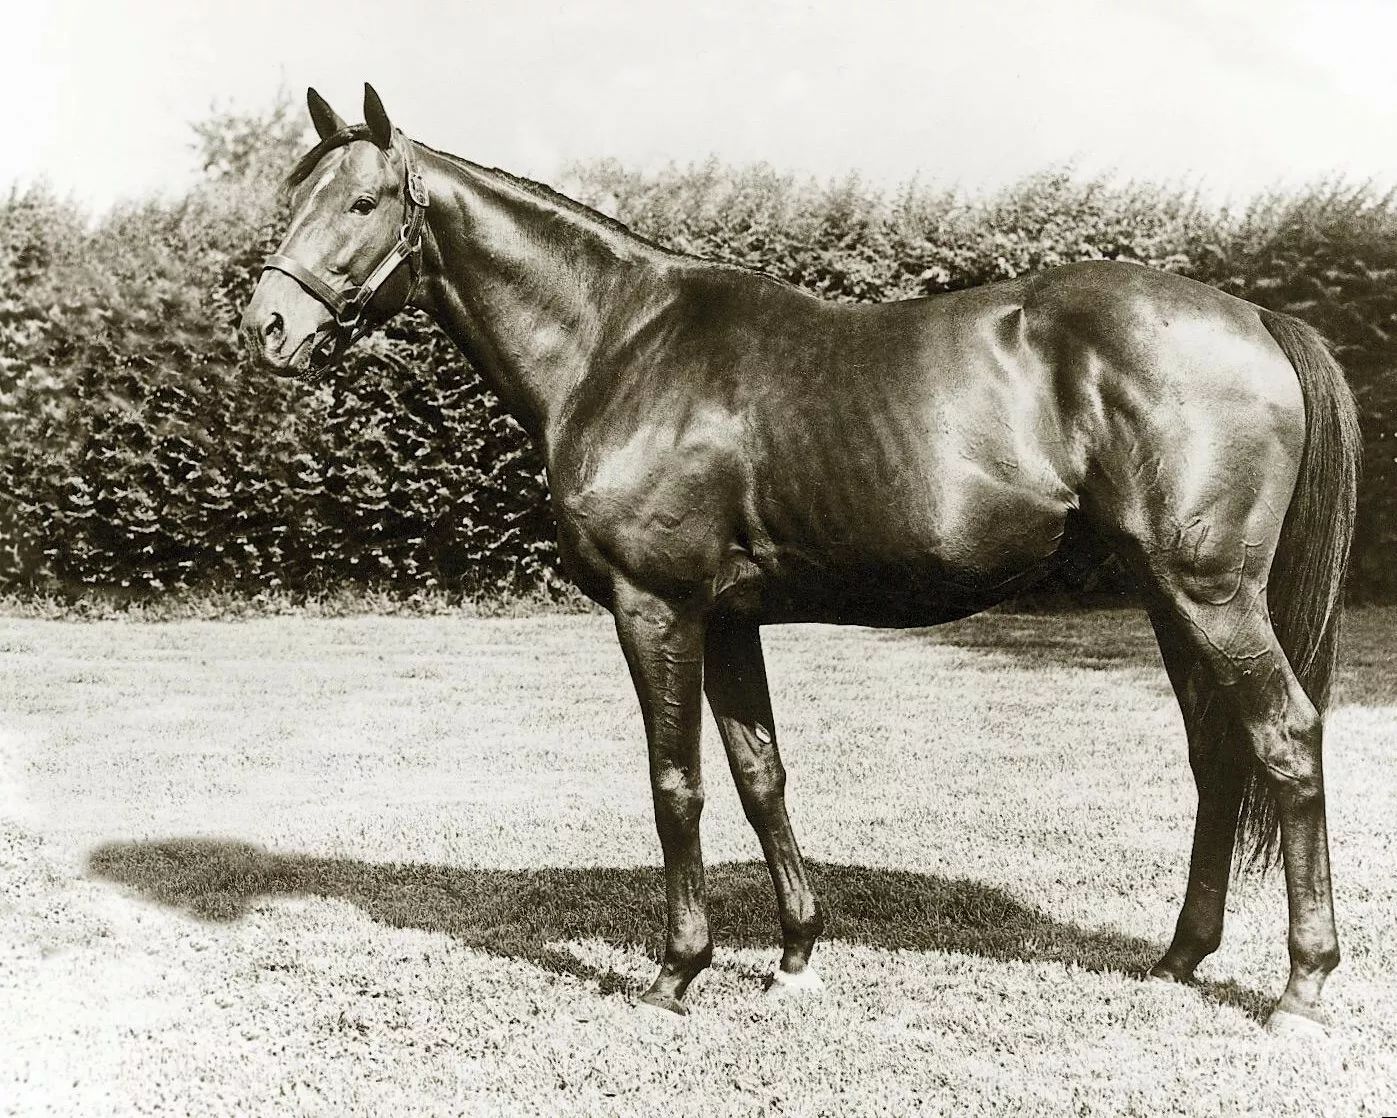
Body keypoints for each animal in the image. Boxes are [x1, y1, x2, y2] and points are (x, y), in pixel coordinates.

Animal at [241, 85, 1360, 1037]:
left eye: (363, 200)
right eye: (297, 195)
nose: (268, 327)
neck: (618, 342)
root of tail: (1256, 317)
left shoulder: (656, 605)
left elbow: (676, 783)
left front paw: (676, 970)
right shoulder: (730, 615)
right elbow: (759, 775)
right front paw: (794, 955)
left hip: (1210, 593)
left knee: (1286, 739)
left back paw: (1300, 989)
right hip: (1169, 596)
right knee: (1218, 754)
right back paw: (1178, 957)